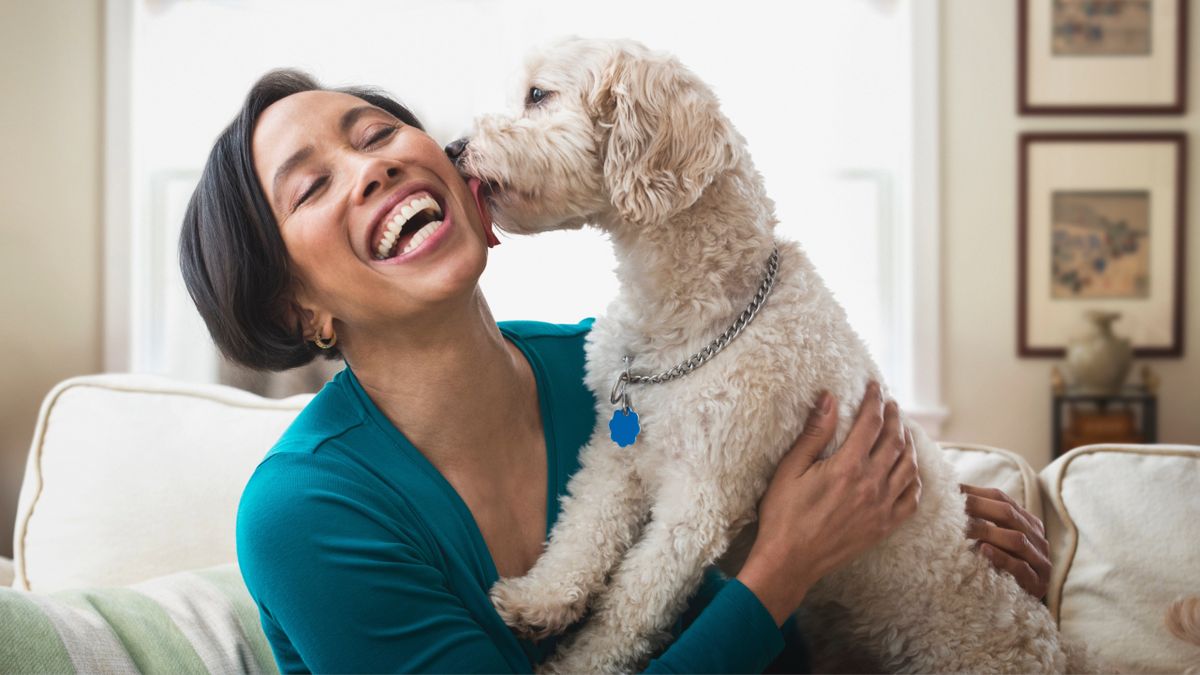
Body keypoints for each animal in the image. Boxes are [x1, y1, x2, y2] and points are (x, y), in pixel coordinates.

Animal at [453, 38, 1094, 672]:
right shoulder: (617, 455)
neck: (695, 317)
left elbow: (631, 605)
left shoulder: (703, 497)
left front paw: (578, 663)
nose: (455, 148)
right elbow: (581, 532)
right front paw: (539, 600)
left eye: (539, 95)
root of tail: (1050, 642)